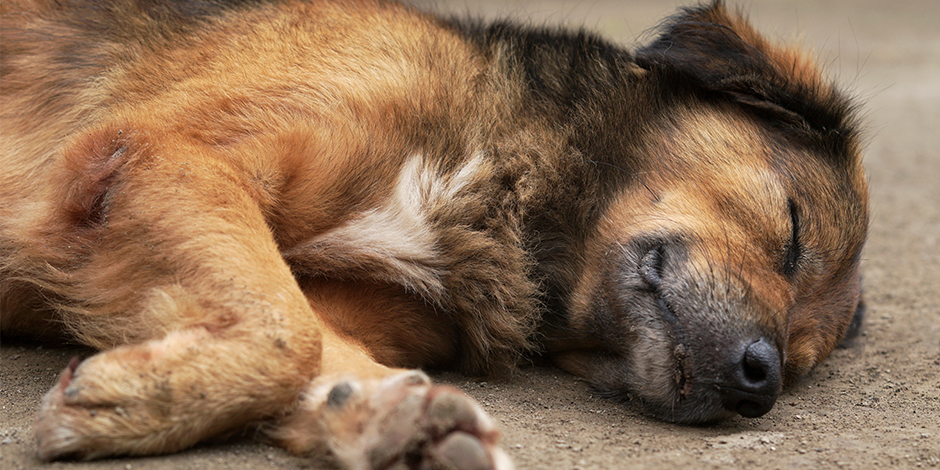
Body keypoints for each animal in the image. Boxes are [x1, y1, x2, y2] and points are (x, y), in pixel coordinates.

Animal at [0, 0, 868, 466]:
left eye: (799, 362)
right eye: (792, 230)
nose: (760, 381)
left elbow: (310, 342)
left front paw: (389, 418)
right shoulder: (159, 154)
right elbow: (287, 336)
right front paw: (139, 404)